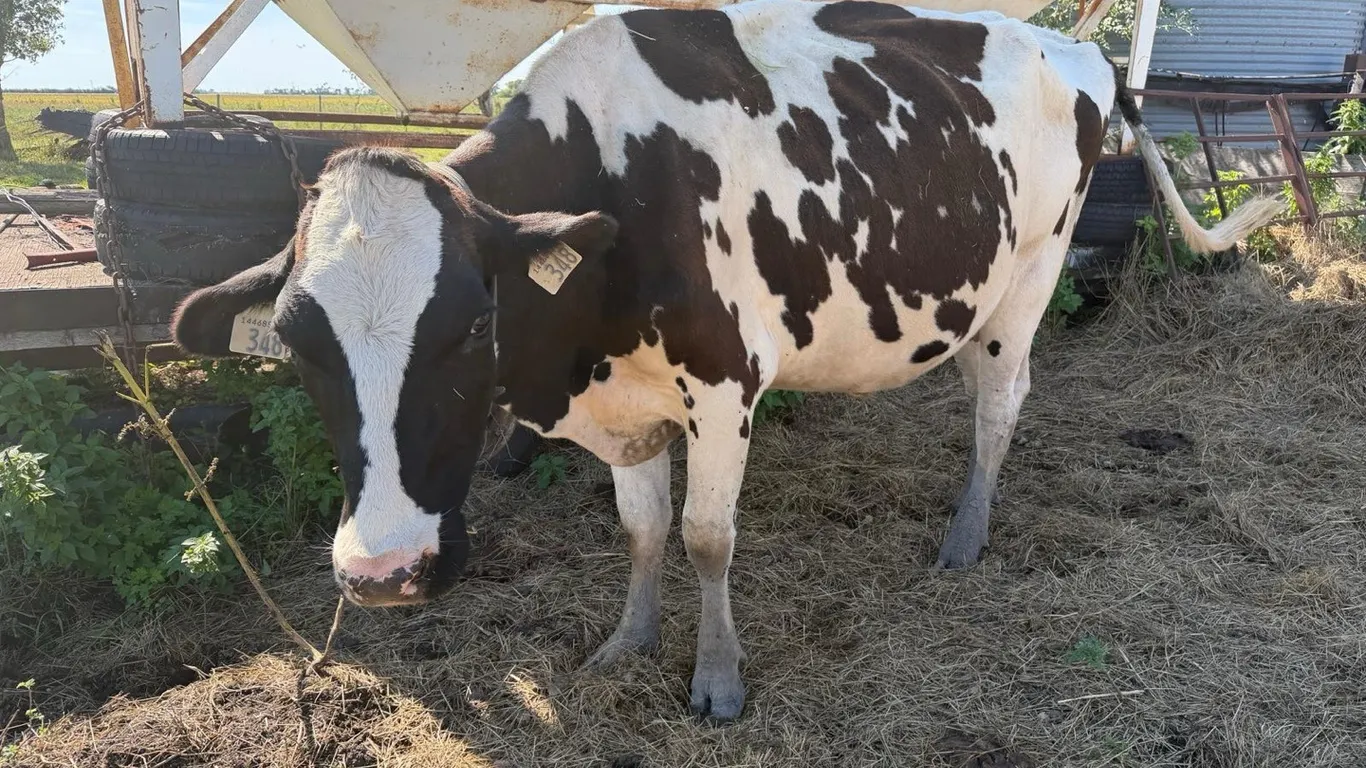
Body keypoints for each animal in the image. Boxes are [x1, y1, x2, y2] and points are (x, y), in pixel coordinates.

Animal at [169, 0, 1280, 721]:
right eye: (297, 347)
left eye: (473, 326)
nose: (383, 575)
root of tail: (1077, 46)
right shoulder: (624, 403)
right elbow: (642, 531)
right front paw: (627, 642)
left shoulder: (723, 382)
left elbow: (707, 538)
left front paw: (717, 679)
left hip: (1032, 277)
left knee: (1001, 405)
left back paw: (966, 536)